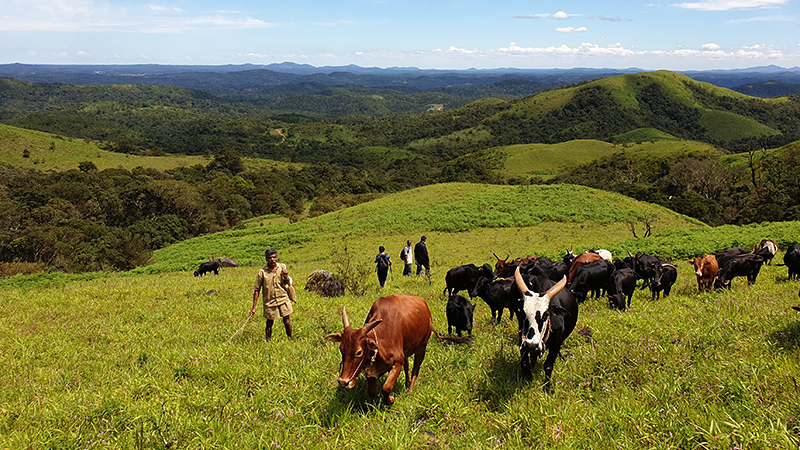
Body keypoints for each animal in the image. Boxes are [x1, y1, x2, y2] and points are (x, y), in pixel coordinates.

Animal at [324, 294, 462, 406]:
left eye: (359, 352)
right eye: (341, 349)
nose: (343, 382)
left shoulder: (397, 362)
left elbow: (386, 387)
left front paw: (390, 400)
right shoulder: (370, 368)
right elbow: (372, 391)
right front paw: (371, 407)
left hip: (422, 347)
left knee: (415, 369)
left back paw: (410, 389)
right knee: (407, 366)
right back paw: (407, 383)